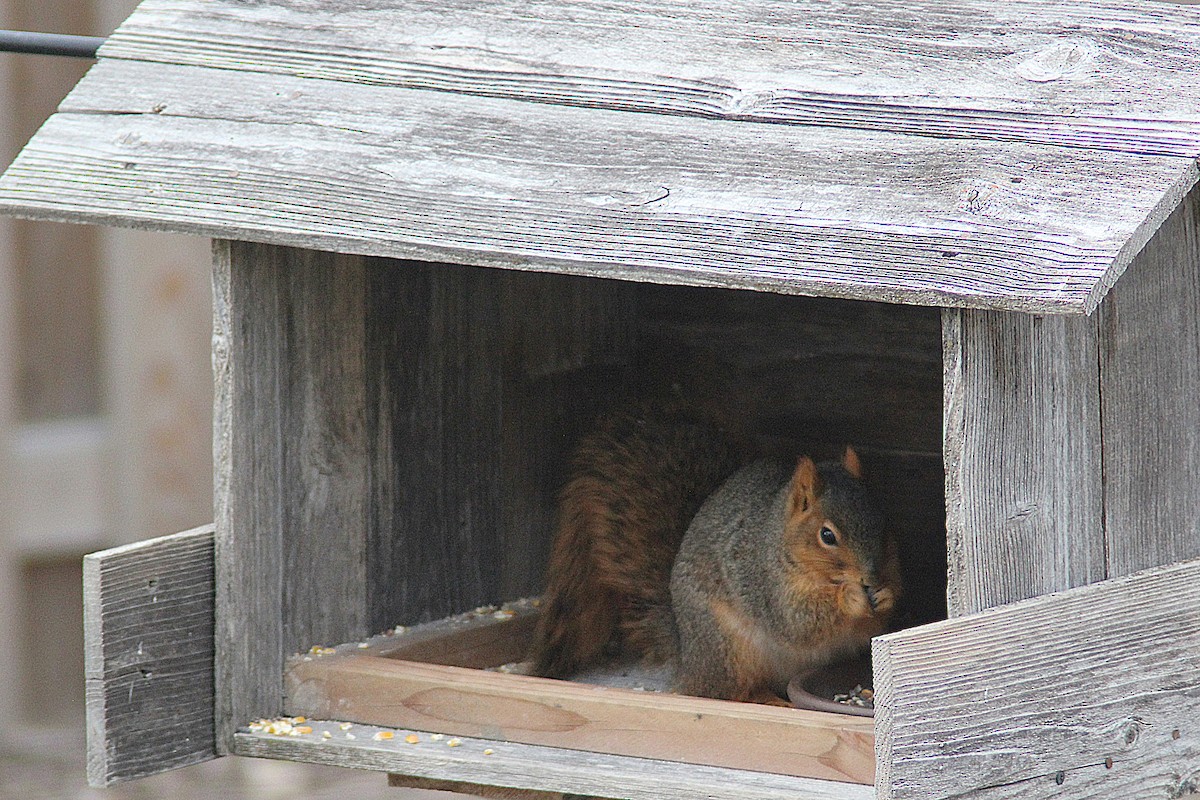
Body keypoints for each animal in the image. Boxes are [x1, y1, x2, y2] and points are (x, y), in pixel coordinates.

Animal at [528, 411, 900, 704]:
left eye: (884, 523)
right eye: (827, 536)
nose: (869, 577)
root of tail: (688, 658)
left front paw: (886, 594)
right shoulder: (763, 582)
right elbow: (796, 621)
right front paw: (850, 597)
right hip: (727, 649)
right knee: (727, 691)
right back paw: (767, 699)